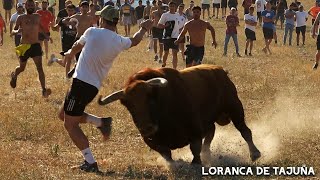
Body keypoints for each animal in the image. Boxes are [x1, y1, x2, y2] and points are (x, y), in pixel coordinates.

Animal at [99, 64, 262, 165]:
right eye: (128, 105)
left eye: (151, 99)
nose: (147, 128)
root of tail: (221, 71)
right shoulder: (150, 139)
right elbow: (166, 153)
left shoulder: (195, 130)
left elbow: (195, 148)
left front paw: (196, 163)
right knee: (211, 133)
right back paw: (207, 155)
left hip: (235, 109)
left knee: (245, 131)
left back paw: (254, 154)